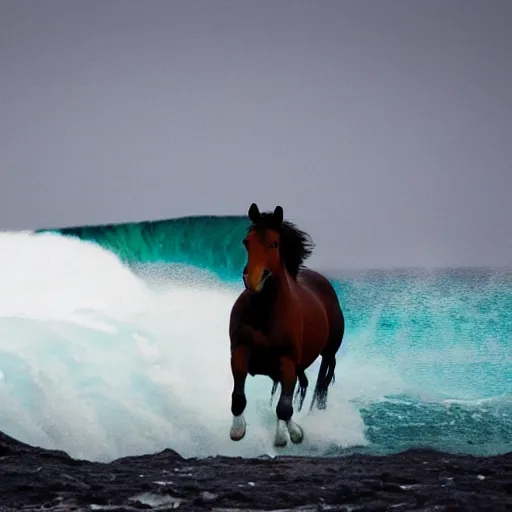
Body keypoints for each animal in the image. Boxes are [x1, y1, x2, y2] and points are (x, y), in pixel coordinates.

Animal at [227, 202, 344, 446]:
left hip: (328, 354)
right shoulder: (240, 352)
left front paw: (284, 436)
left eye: (274, 243)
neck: (264, 312)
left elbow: (283, 406)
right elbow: (238, 396)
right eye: (246, 242)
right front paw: (237, 430)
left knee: (319, 385)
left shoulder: (287, 360)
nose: (253, 280)